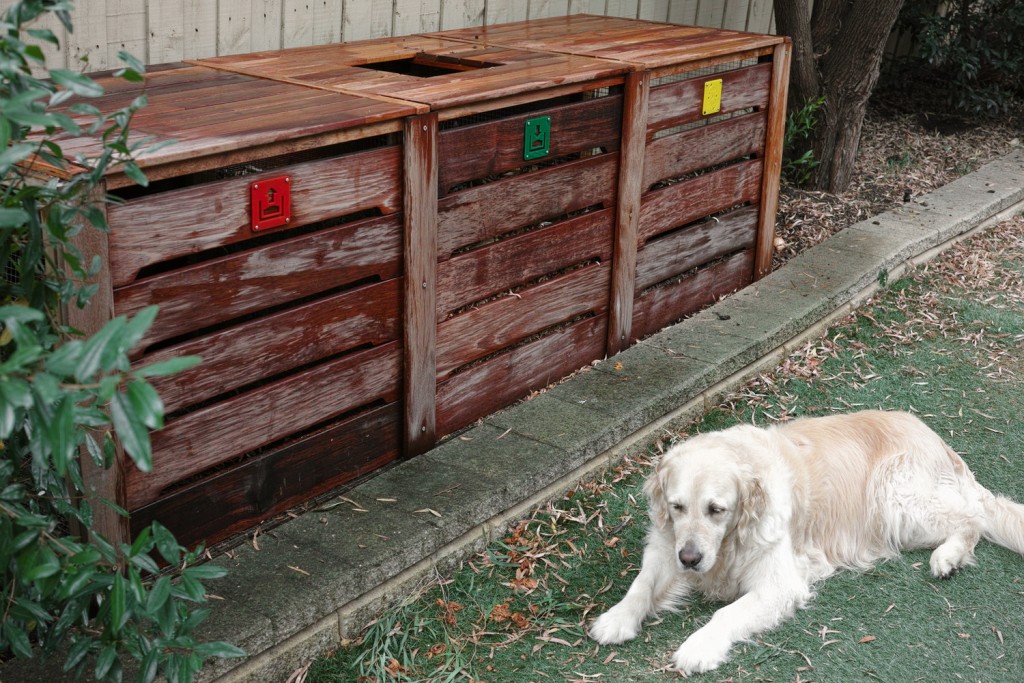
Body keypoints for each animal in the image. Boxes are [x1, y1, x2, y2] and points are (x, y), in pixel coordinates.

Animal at [589, 411, 1024, 671]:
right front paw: (617, 617)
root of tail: (939, 442)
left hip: (897, 504)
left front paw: (699, 647)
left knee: (972, 518)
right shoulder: (667, 545)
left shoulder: (780, 582)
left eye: (717, 509)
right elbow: (642, 584)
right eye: (676, 507)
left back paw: (947, 557)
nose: (691, 559)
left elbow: (726, 614)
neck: (731, 540)